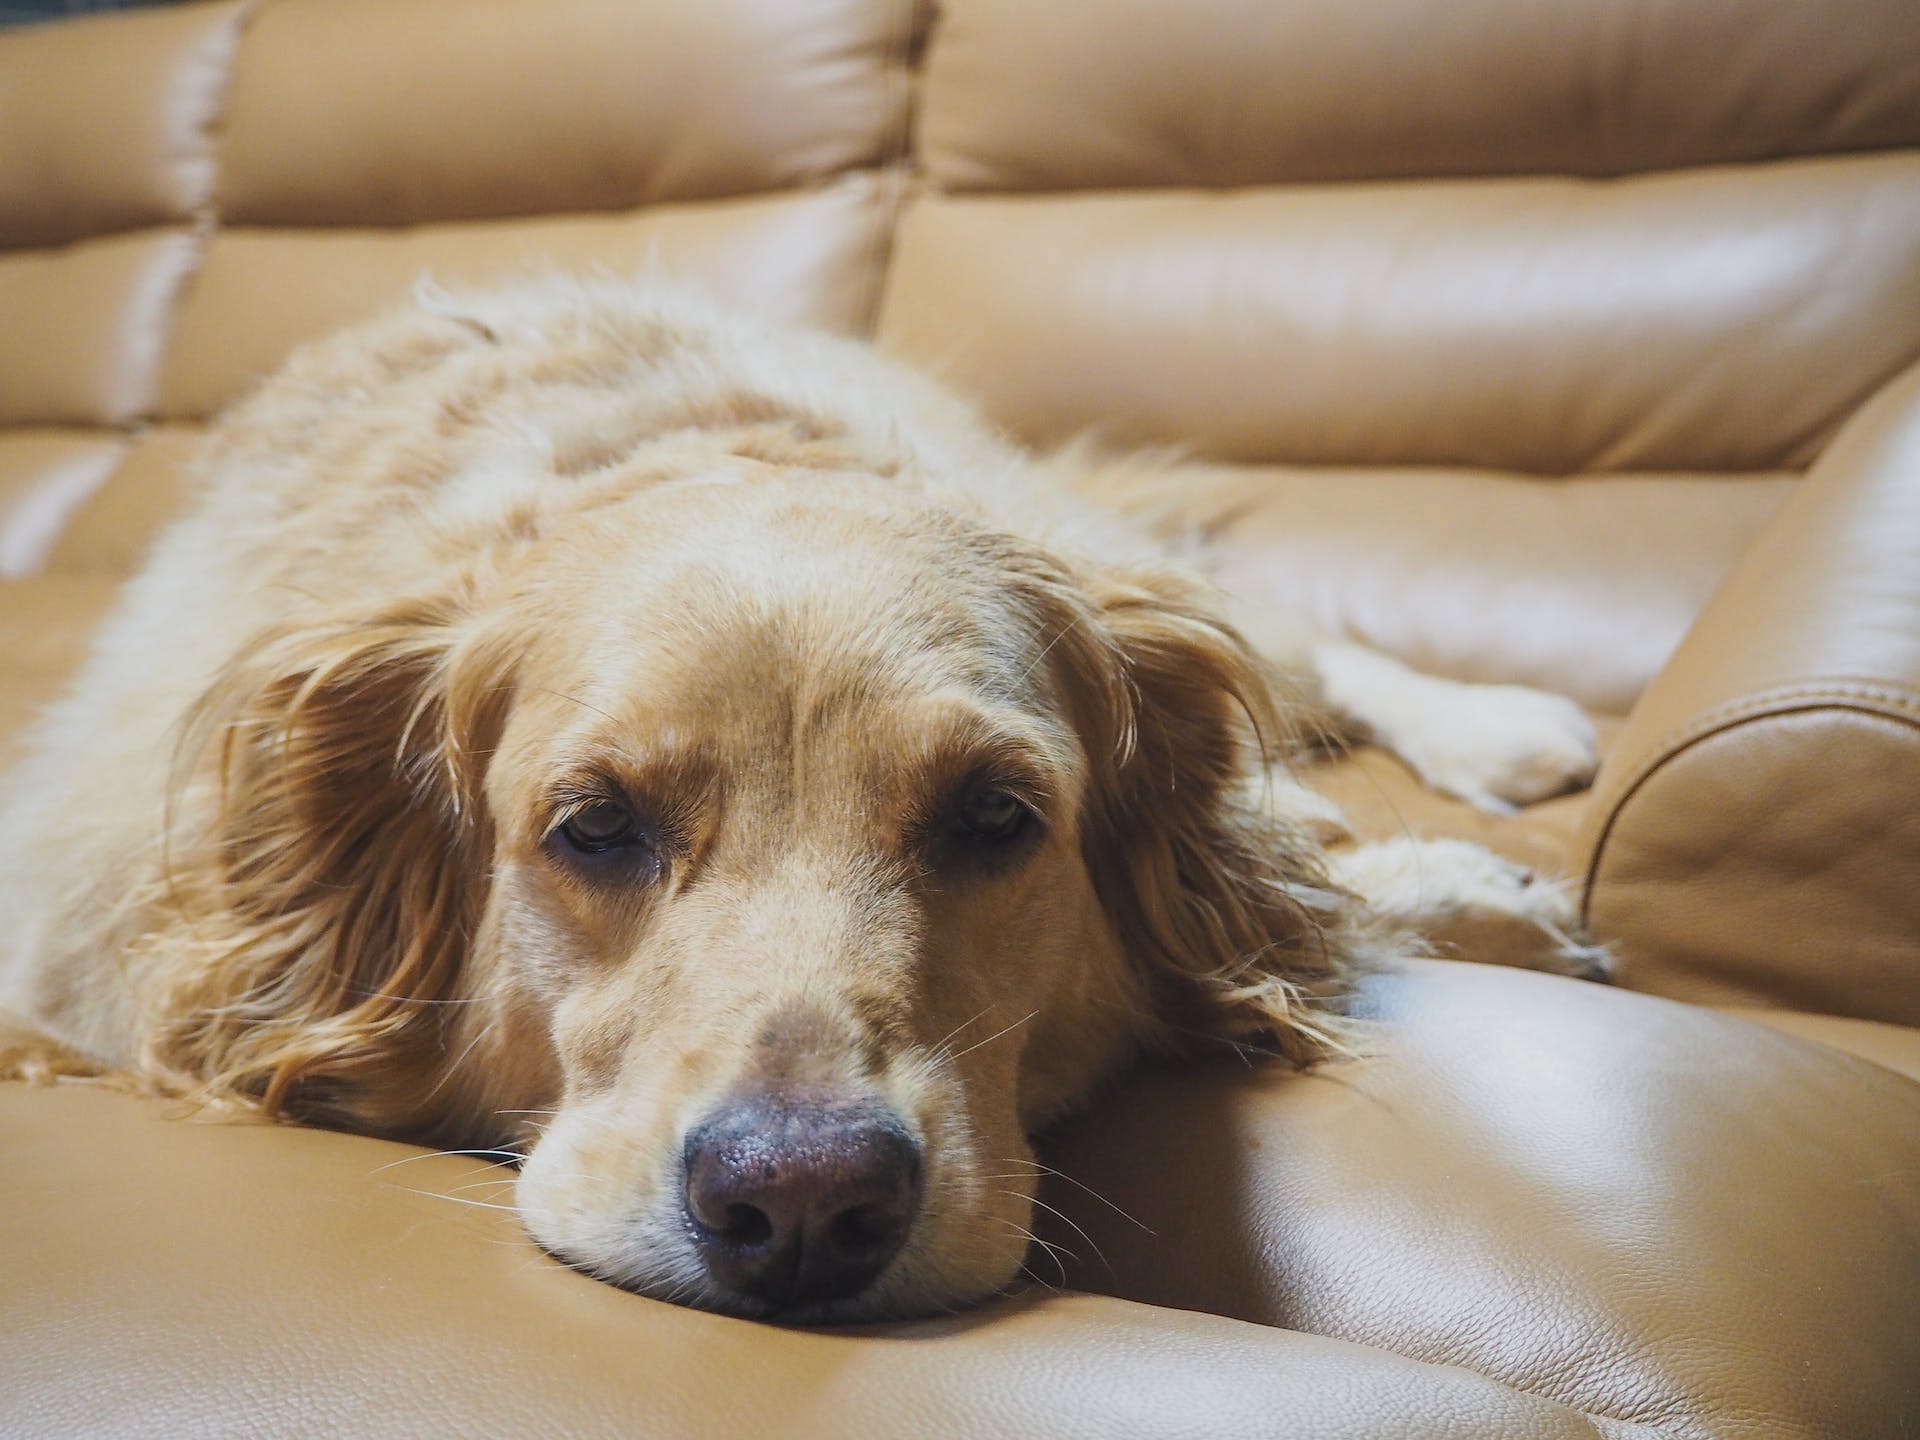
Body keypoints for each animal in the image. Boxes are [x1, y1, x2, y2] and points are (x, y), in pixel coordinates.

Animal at [0, 276, 1589, 1328]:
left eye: (995, 818)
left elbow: (1298, 881)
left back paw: (1505, 735)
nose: (807, 1206)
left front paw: (1466, 887)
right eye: (594, 828)